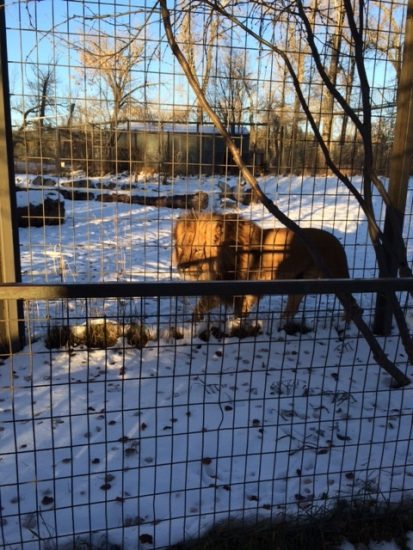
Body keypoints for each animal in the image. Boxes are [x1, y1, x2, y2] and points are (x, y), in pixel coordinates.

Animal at [172, 211, 352, 324]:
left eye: (197, 249)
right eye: (181, 248)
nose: (182, 267)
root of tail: (337, 241)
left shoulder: (248, 287)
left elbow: (239, 310)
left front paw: (235, 326)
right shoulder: (221, 287)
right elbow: (201, 306)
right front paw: (191, 325)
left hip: (338, 276)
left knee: (352, 302)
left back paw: (346, 324)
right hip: (301, 281)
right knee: (293, 306)